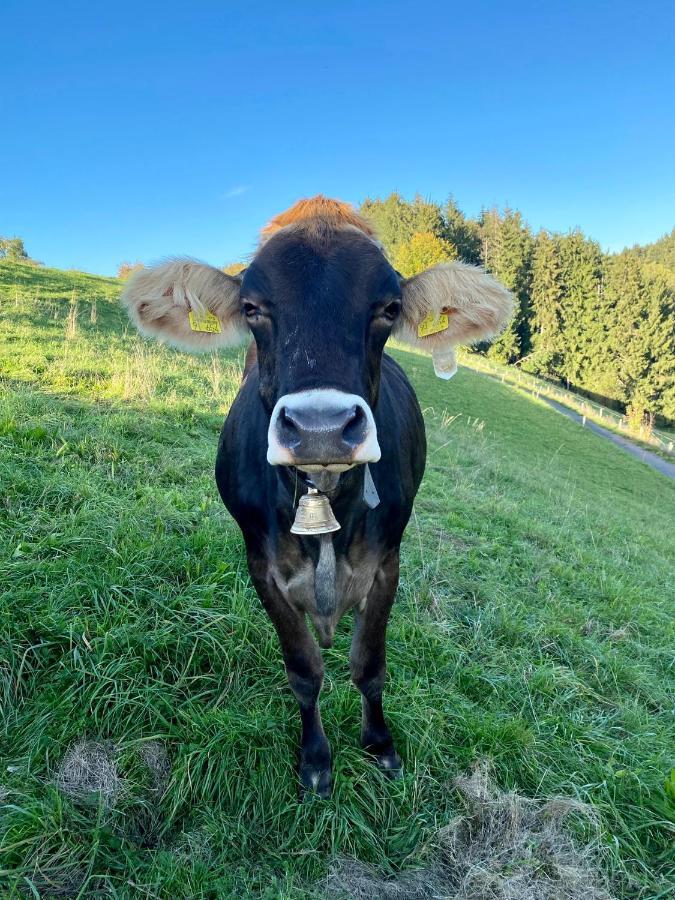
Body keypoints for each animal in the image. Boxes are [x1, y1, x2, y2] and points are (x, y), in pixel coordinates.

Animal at [123, 195, 512, 796]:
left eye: (389, 307)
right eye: (253, 307)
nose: (320, 427)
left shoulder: (387, 563)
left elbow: (369, 666)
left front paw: (379, 743)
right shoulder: (262, 568)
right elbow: (305, 671)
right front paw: (315, 758)